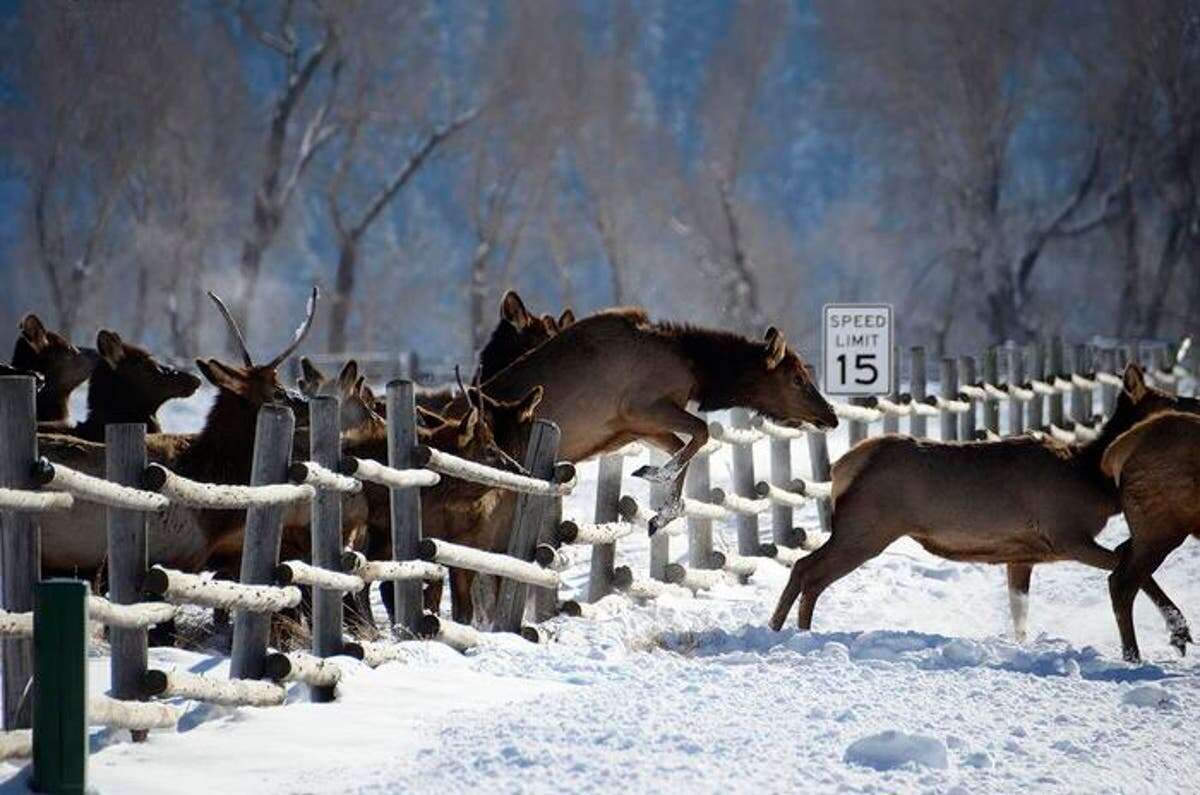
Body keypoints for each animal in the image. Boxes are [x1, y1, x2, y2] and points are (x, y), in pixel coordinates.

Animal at [1104, 413, 1200, 662]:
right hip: (1161, 527)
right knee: (1121, 580)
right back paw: (1133, 657)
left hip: (1153, 528)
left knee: (1120, 553)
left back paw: (1178, 631)